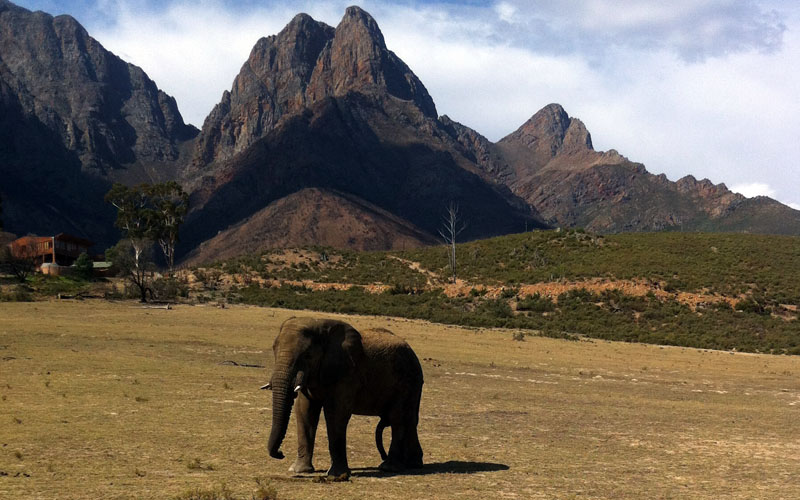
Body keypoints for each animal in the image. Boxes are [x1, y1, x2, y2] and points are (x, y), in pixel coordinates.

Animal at [264, 316, 424, 476]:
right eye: (273, 349)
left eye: (307, 355)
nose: (281, 453)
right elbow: (305, 411)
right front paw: (299, 470)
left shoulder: (346, 374)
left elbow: (336, 413)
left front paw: (337, 475)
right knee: (410, 419)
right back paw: (412, 463)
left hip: (407, 381)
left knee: (397, 418)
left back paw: (389, 467)